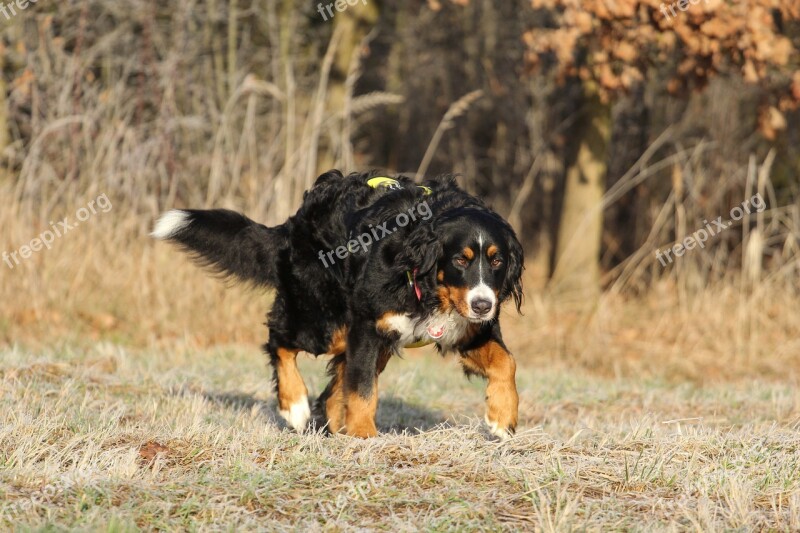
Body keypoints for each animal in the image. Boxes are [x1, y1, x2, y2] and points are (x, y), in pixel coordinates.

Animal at [153, 171, 524, 440]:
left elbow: (507, 362)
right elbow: (362, 390)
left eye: (497, 260)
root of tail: (296, 221)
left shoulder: (466, 329)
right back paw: (295, 405)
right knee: (279, 340)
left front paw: (502, 417)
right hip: (324, 321)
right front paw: (363, 437)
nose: (483, 305)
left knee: (333, 386)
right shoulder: (368, 326)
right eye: (460, 260)